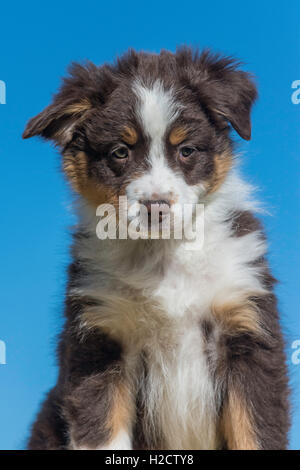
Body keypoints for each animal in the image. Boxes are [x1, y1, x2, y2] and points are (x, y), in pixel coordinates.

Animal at [22, 48, 290, 452]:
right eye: (119, 152)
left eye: (186, 150)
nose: (156, 206)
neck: (164, 252)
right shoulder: (99, 341)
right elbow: (103, 431)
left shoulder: (247, 332)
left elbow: (255, 431)